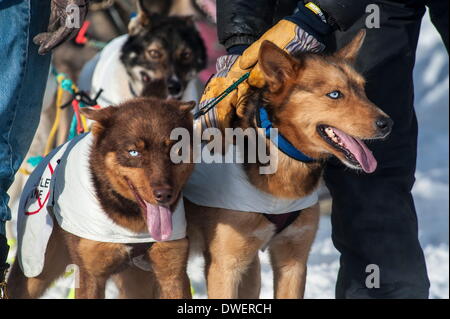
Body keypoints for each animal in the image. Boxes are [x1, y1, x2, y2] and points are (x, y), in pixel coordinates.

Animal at [7, 98, 195, 300]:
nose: (164, 194)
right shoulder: (91, 275)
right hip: (36, 267)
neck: (134, 226)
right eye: (133, 152)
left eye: (176, 149)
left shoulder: (172, 273)